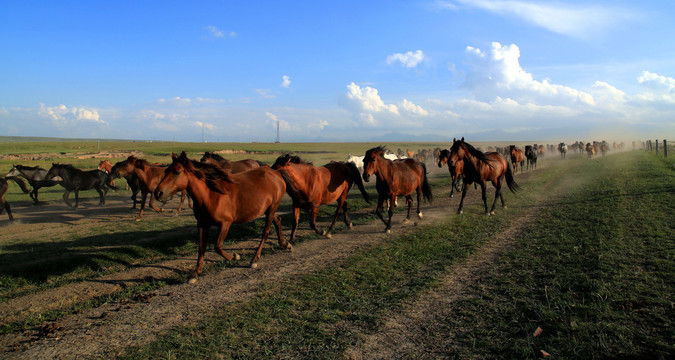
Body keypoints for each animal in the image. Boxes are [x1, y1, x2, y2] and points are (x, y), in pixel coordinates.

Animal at [154, 150, 292, 278]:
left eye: (177, 172)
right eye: (166, 171)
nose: (158, 193)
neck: (210, 195)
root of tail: (275, 172)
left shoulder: (225, 223)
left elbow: (218, 247)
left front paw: (235, 256)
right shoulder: (202, 224)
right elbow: (202, 247)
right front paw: (195, 273)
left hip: (273, 207)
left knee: (266, 232)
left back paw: (254, 259)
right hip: (267, 209)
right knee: (278, 220)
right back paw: (286, 244)